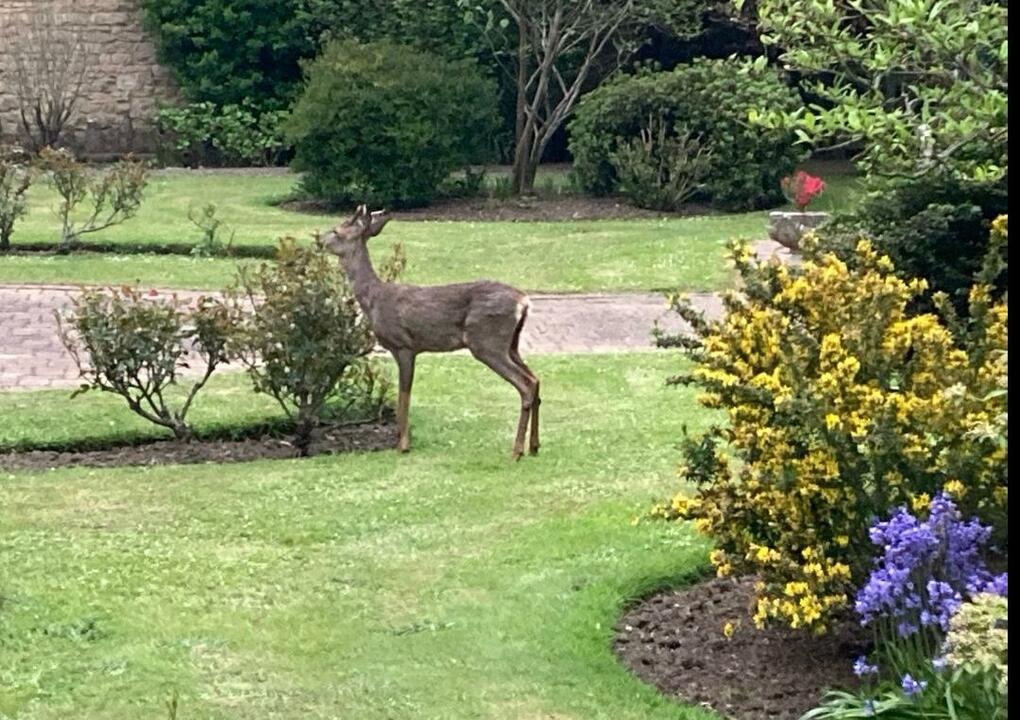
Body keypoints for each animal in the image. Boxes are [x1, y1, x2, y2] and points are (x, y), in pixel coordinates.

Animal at [318, 204, 542, 456]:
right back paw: (534, 446)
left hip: (487, 341)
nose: (318, 241)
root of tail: (524, 301)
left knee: (526, 384)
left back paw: (517, 451)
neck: (374, 299)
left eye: (336, 231)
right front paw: (400, 440)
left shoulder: (404, 344)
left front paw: (403, 445)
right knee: (535, 380)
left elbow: (404, 394)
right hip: (511, 344)